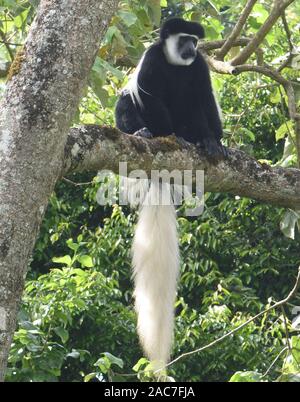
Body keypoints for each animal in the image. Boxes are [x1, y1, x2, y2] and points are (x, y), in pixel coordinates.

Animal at [115, 19, 227, 368]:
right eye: (183, 39)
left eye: (194, 40)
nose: (190, 48)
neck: (176, 64)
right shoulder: (152, 60)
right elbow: (147, 96)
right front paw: (158, 132)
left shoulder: (199, 67)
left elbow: (204, 98)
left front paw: (215, 140)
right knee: (126, 101)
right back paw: (147, 133)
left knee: (193, 104)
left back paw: (203, 141)